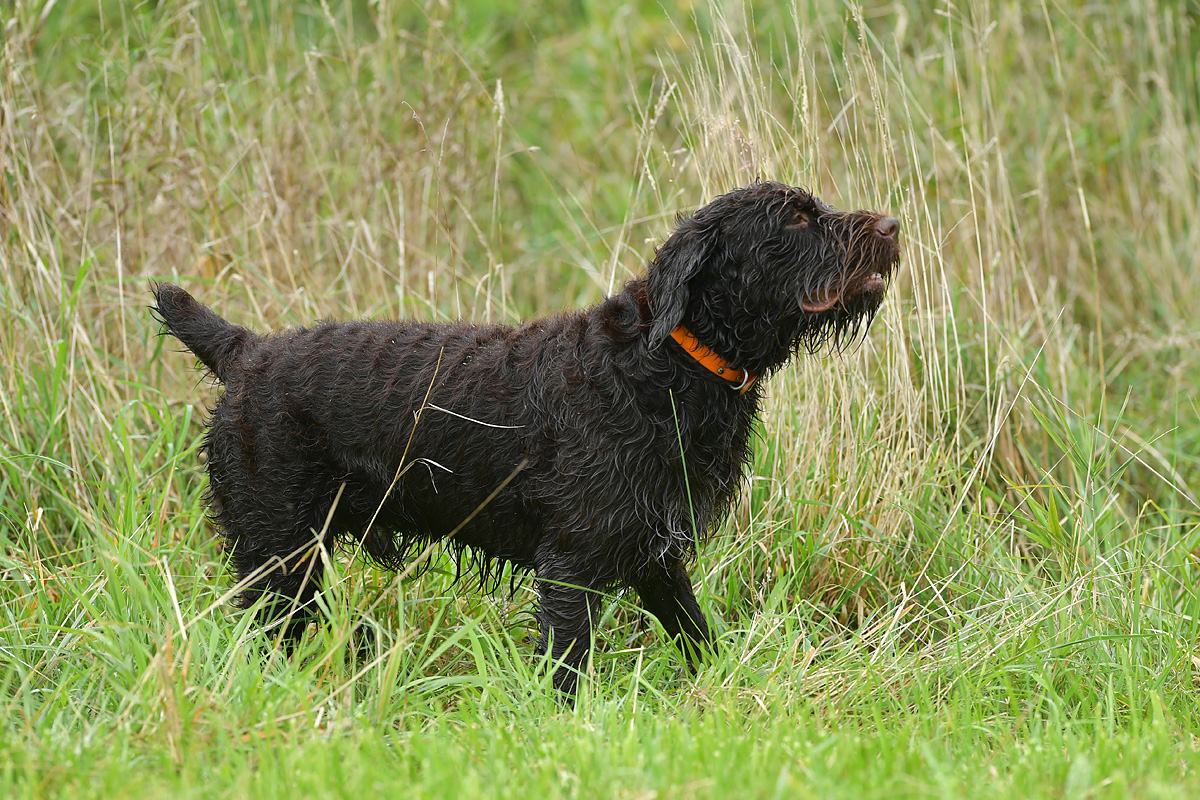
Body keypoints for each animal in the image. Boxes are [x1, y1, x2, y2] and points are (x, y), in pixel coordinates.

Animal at [152, 181, 900, 695]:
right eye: (795, 218)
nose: (894, 225)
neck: (665, 365)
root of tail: (246, 353)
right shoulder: (571, 563)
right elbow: (567, 670)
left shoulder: (653, 553)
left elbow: (696, 634)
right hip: (278, 553)